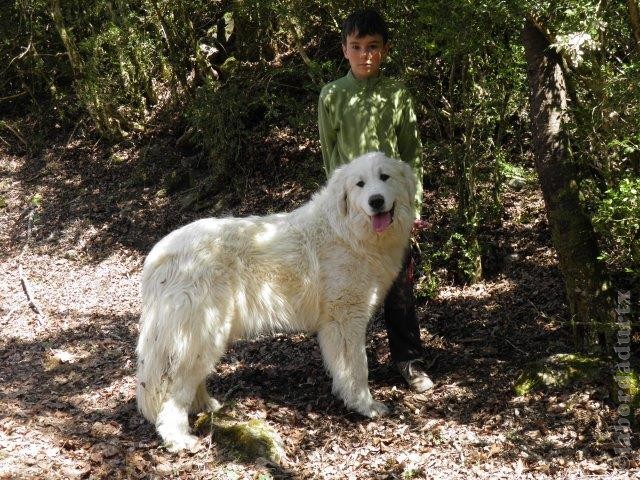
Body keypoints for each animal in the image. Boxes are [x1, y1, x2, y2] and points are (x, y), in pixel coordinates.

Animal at [136, 153, 416, 450]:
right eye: (360, 184)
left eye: (384, 177)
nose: (376, 200)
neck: (348, 232)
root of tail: (158, 255)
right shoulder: (347, 318)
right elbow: (359, 367)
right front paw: (365, 406)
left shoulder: (334, 325)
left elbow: (343, 369)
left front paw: (349, 399)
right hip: (202, 331)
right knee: (174, 392)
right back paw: (178, 438)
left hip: (208, 336)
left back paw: (204, 405)